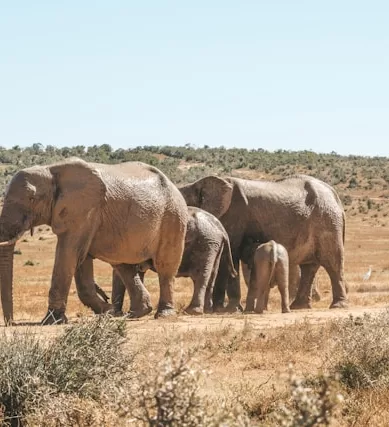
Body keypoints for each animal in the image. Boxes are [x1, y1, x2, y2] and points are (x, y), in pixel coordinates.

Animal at [0, 159, 188, 326]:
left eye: (32, 198)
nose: (11, 322)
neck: (50, 169)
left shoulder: (83, 211)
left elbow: (69, 254)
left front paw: (51, 321)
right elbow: (80, 260)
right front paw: (109, 312)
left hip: (173, 217)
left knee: (165, 268)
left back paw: (163, 315)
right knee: (124, 267)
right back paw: (136, 313)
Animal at [108, 206, 236, 316]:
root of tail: (221, 228)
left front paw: (116, 314)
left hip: (206, 243)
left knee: (200, 275)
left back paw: (192, 311)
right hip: (214, 245)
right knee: (211, 275)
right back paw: (207, 311)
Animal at [178, 176, 346, 312]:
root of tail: (335, 196)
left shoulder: (234, 217)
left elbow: (231, 256)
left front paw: (226, 310)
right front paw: (222, 309)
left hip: (328, 221)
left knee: (332, 263)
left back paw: (337, 306)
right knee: (309, 267)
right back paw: (299, 307)